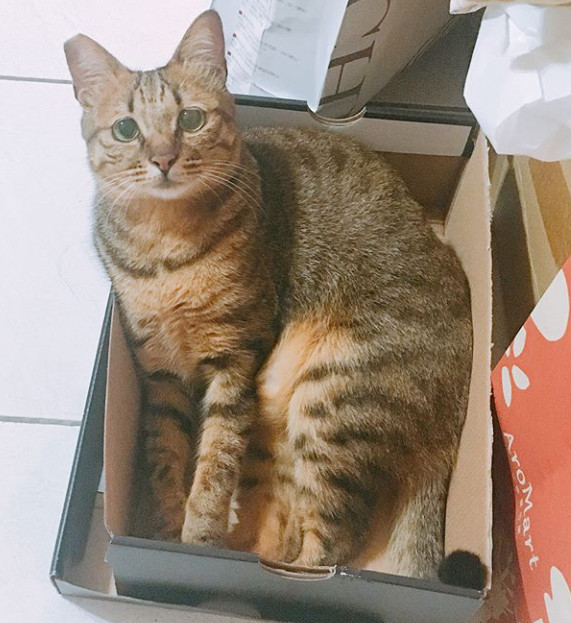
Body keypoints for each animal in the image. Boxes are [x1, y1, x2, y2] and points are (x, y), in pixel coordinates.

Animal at [65, 10, 473, 578]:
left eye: (190, 120)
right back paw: (246, 544)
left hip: (334, 397)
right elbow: (164, 454)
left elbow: (215, 461)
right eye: (126, 129)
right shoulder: (161, 370)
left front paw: (197, 537)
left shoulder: (235, 355)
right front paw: (165, 530)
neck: (166, 246)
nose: (164, 159)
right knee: (288, 522)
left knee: (331, 544)